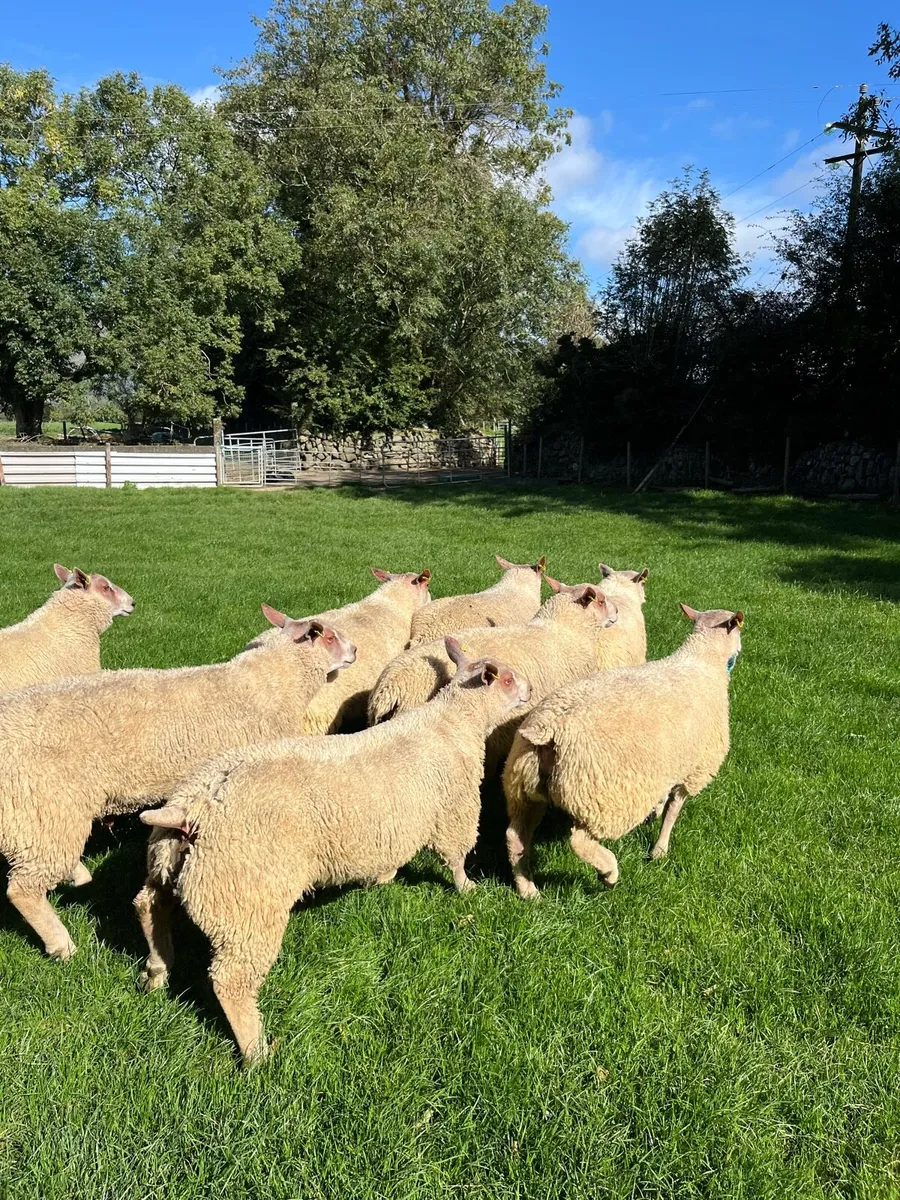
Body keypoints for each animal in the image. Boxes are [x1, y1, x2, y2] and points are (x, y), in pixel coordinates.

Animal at [0, 608, 355, 961]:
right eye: (330, 636)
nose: (355, 650)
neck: (272, 684)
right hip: (42, 805)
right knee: (22, 889)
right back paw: (62, 944)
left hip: (37, 818)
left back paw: (80, 879)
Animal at [137, 638, 532, 1064]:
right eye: (507, 679)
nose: (529, 690)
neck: (454, 723)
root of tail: (194, 806)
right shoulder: (455, 810)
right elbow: (456, 857)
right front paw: (467, 889)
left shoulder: (397, 826)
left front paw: (383, 878)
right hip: (245, 899)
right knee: (231, 980)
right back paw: (257, 1052)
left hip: (168, 864)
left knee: (150, 907)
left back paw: (156, 972)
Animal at [503, 604, 744, 898]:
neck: (704, 661)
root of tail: (549, 728)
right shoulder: (693, 770)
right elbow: (673, 810)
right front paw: (660, 850)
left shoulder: (667, 765)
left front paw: (655, 812)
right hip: (600, 799)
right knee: (579, 842)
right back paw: (609, 874)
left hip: (524, 788)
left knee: (516, 837)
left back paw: (528, 889)